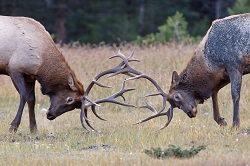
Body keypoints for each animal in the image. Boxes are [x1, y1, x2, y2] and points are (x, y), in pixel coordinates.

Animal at [80, 13, 250, 130]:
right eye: (174, 103)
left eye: (177, 96)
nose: (191, 113)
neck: (209, 60)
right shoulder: (223, 74)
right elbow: (215, 93)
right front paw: (221, 121)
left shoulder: (234, 63)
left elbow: (235, 95)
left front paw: (235, 125)